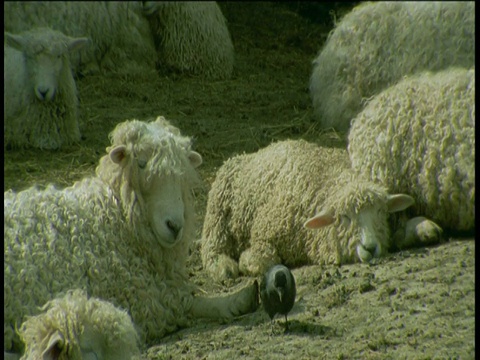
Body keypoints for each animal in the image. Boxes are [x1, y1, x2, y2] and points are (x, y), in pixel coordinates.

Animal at [202, 139, 442, 282]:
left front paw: (423, 227)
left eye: (380, 212)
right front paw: (246, 261)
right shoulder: (265, 231)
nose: (370, 247)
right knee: (212, 248)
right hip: (217, 218)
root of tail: (243, 154)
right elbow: (266, 260)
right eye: (344, 218)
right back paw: (224, 267)